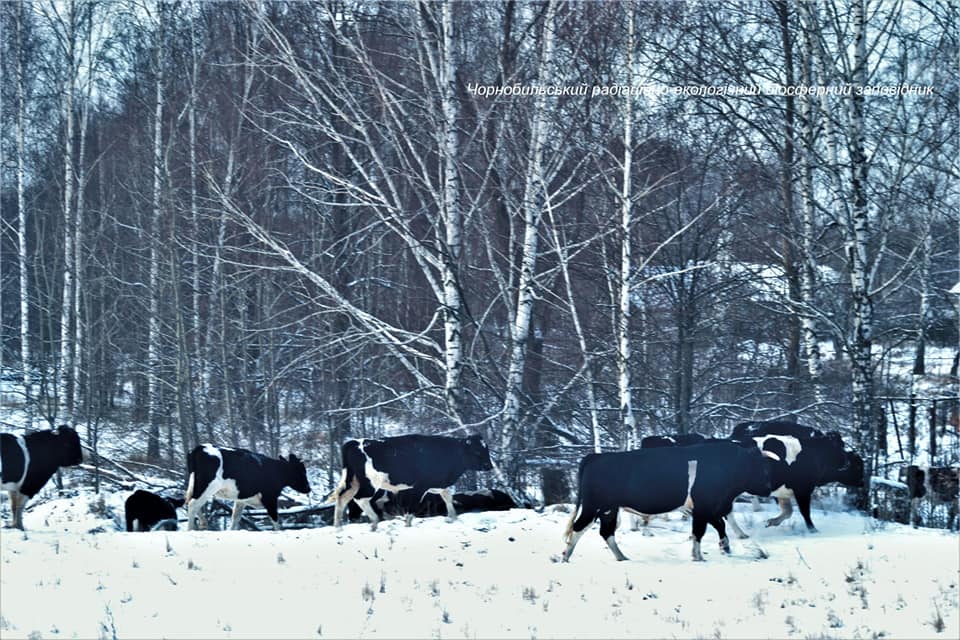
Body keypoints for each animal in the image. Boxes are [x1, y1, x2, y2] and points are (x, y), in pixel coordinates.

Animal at [332, 436, 496, 528]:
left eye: (486, 449)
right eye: (477, 451)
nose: (489, 465)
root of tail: (353, 443)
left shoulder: (437, 484)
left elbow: (448, 498)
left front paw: (453, 518)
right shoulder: (420, 487)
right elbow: (413, 507)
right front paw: (408, 524)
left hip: (353, 481)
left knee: (342, 498)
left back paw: (338, 526)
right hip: (371, 483)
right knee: (359, 499)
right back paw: (374, 521)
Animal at [564, 442, 780, 564]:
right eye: (762, 468)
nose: (768, 489)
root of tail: (596, 456)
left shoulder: (707, 508)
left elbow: (718, 526)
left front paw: (724, 547)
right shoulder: (704, 507)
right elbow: (701, 531)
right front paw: (698, 557)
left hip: (609, 509)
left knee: (605, 532)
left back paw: (622, 557)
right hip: (594, 506)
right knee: (579, 527)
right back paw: (565, 556)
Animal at [728, 420, 864, 528]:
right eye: (858, 466)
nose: (862, 482)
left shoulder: (783, 490)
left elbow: (788, 511)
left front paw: (772, 522)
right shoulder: (802, 489)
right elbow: (804, 511)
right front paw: (813, 530)